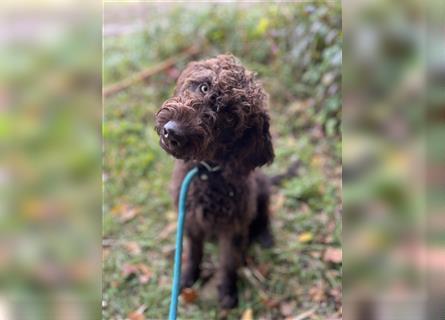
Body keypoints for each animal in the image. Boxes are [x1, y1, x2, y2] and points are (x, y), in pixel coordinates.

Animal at [155, 53, 274, 308]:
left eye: (229, 118)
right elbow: (193, 251)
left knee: (265, 212)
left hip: (262, 188)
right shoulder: (190, 219)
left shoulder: (233, 228)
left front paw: (228, 292)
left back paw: (266, 235)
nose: (172, 131)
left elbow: (228, 262)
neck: (206, 173)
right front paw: (187, 277)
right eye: (204, 87)